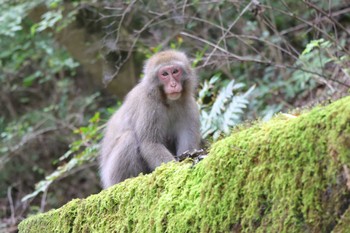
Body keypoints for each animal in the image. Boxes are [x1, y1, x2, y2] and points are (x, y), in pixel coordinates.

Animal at [100, 50, 201, 188]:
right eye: (164, 74)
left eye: (175, 71)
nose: (173, 84)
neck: (168, 102)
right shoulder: (149, 105)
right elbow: (150, 143)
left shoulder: (189, 106)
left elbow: (187, 145)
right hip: (111, 175)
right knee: (129, 138)